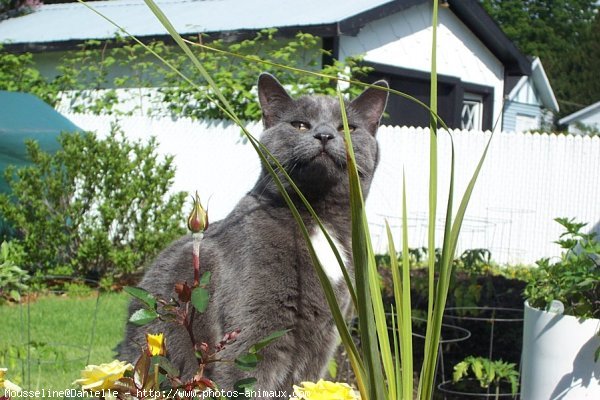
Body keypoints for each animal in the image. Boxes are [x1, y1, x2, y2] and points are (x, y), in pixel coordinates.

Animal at [119, 74, 386, 396]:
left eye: (348, 128)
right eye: (300, 125)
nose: (324, 135)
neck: (318, 221)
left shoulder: (324, 341)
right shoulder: (254, 333)